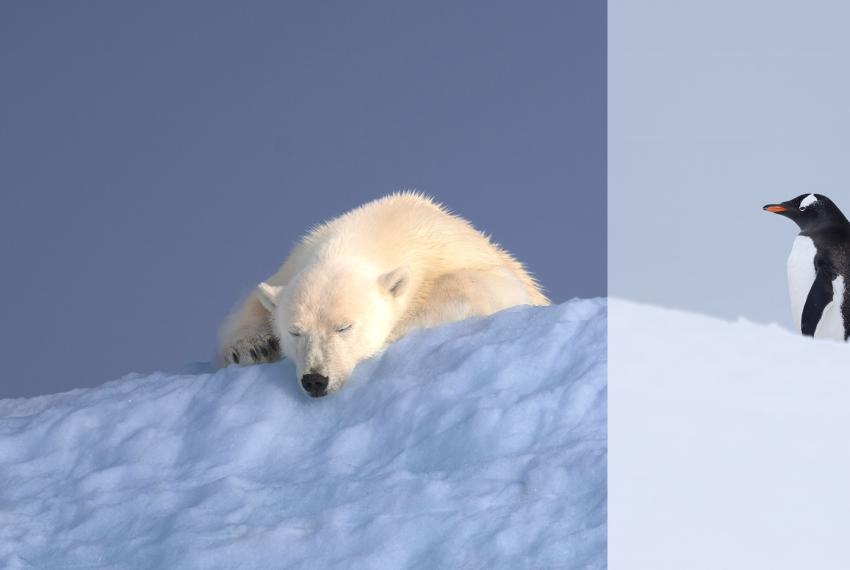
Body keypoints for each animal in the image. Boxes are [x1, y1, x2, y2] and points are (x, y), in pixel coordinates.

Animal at [217, 192, 549, 397]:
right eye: (295, 332)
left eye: (344, 327)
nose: (315, 380)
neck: (389, 223)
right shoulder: (294, 260)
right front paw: (252, 347)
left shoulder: (456, 252)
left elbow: (487, 284)